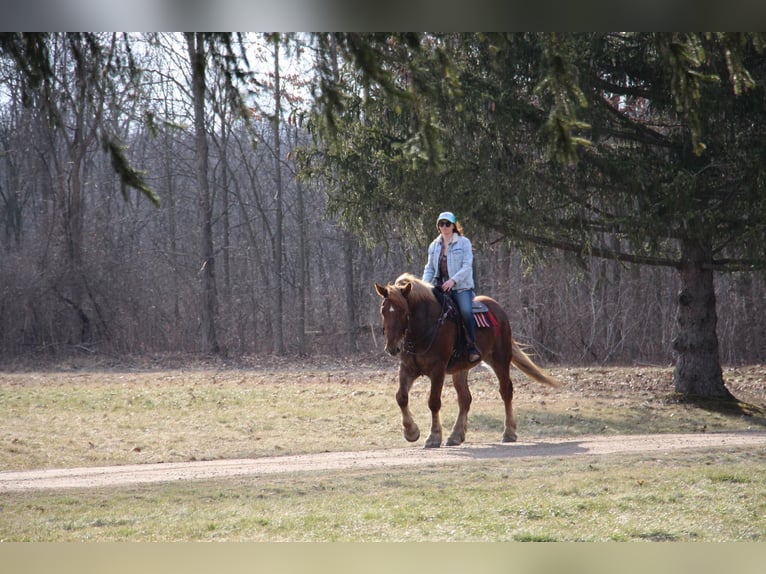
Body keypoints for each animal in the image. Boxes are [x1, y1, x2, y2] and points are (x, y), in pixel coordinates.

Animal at [376, 274, 560, 450]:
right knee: (465, 399)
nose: (392, 347)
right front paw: (411, 432)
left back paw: (509, 432)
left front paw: (433, 437)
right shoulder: (407, 368)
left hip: (500, 359)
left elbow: (434, 402)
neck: (425, 326)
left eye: (402, 310)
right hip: (461, 369)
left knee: (506, 391)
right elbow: (401, 397)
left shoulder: (438, 370)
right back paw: (456, 435)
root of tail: (497, 308)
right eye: (383, 310)